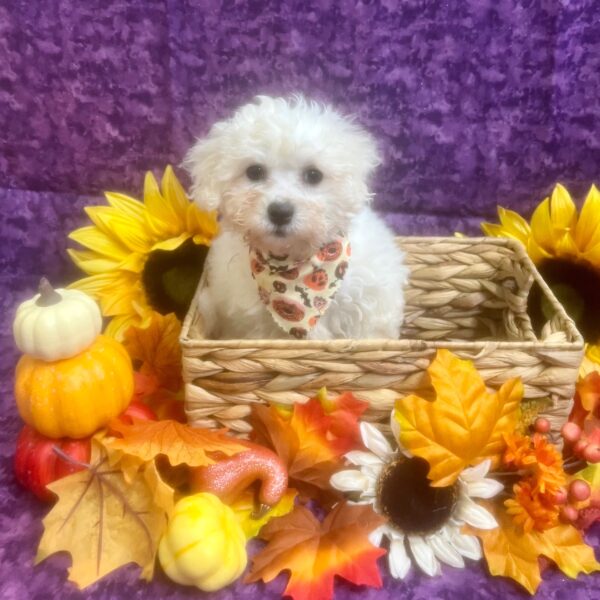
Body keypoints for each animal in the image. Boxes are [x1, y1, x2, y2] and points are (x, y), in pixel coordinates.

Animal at [184, 96, 408, 340]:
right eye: (254, 171)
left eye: (314, 175)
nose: (280, 212)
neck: (293, 268)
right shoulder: (256, 327)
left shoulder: (368, 308)